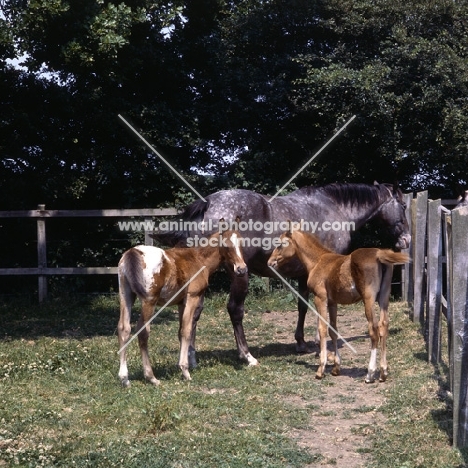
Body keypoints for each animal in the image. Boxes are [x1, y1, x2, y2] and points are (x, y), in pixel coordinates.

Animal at [117, 229, 247, 386]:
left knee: (124, 329)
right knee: (143, 332)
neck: (199, 259)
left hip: (126, 295)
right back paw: (151, 377)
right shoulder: (193, 297)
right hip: (149, 301)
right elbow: (187, 330)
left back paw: (124, 378)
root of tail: (132, 252)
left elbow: (180, 332)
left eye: (241, 244)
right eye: (226, 246)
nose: (241, 269)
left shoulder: (181, 303)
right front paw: (185, 371)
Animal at [268, 228, 408, 384]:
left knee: (374, 330)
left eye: (280, 244)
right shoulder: (332, 302)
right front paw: (336, 367)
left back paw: (370, 374)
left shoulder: (320, 298)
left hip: (369, 299)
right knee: (384, 326)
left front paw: (321, 369)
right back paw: (383, 372)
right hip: (384, 298)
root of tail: (379, 254)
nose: (270, 262)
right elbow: (333, 331)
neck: (318, 261)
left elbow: (322, 329)